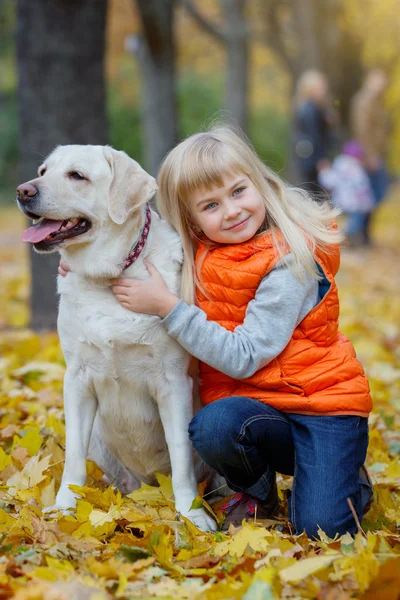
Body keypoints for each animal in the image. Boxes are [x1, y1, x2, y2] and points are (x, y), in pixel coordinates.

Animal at [16, 145, 216, 528]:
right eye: (43, 171)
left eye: (77, 175)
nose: (23, 190)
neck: (108, 276)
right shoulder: (77, 379)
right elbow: (73, 458)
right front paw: (65, 509)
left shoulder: (173, 382)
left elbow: (181, 459)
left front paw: (192, 516)